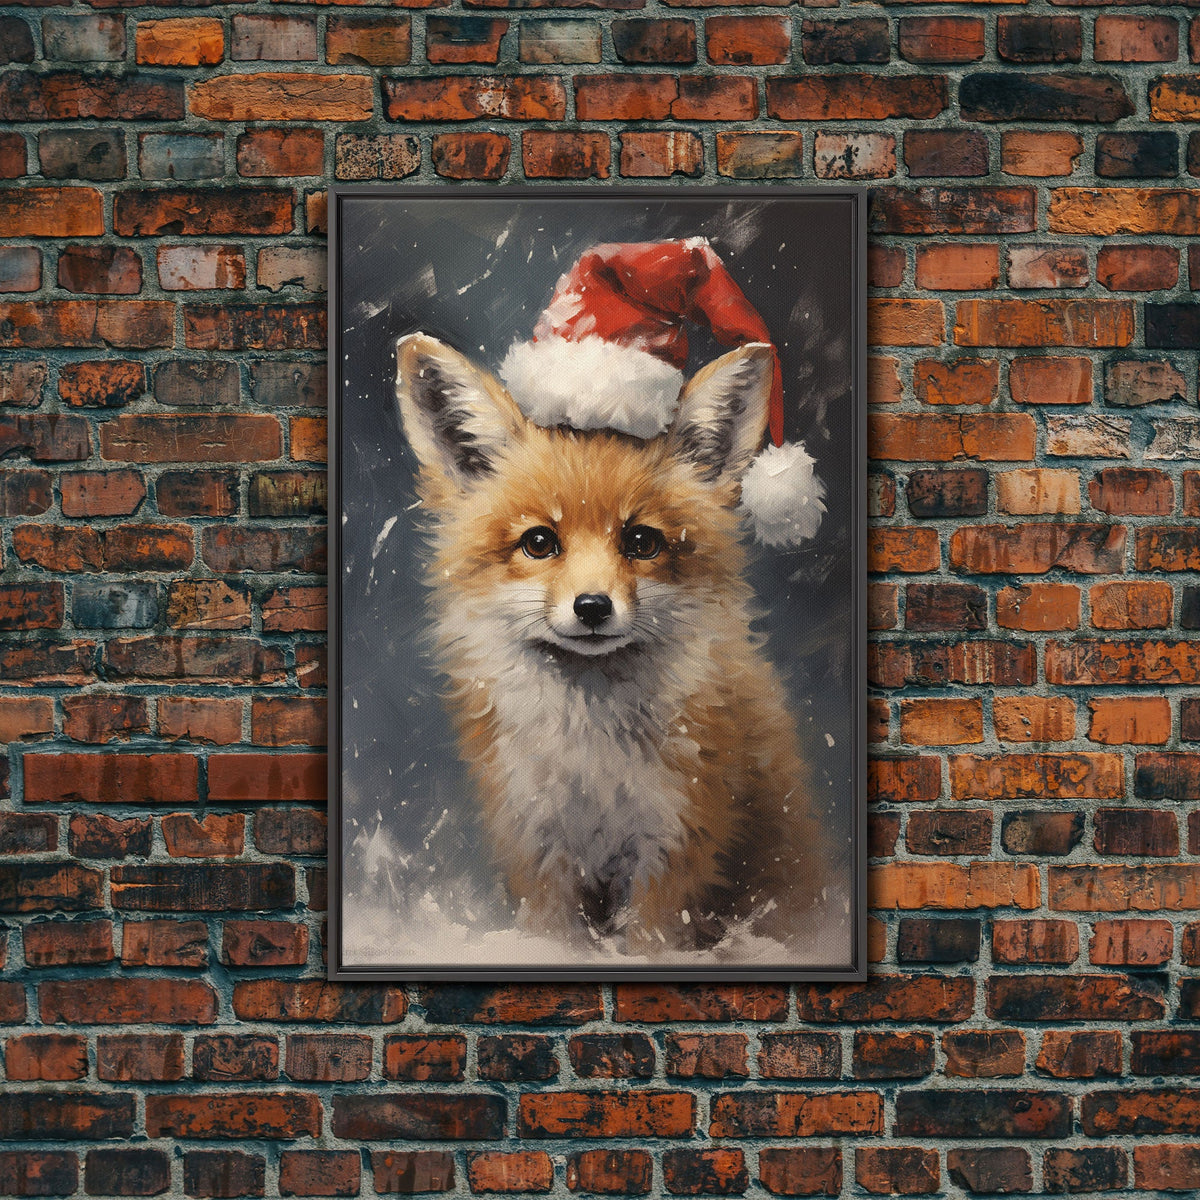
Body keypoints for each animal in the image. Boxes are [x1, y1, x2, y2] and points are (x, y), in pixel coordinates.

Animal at [394, 331, 827, 955]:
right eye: (539, 542)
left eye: (641, 541)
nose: (593, 607)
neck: (591, 761)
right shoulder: (538, 848)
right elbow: (553, 939)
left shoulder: (678, 844)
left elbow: (651, 944)